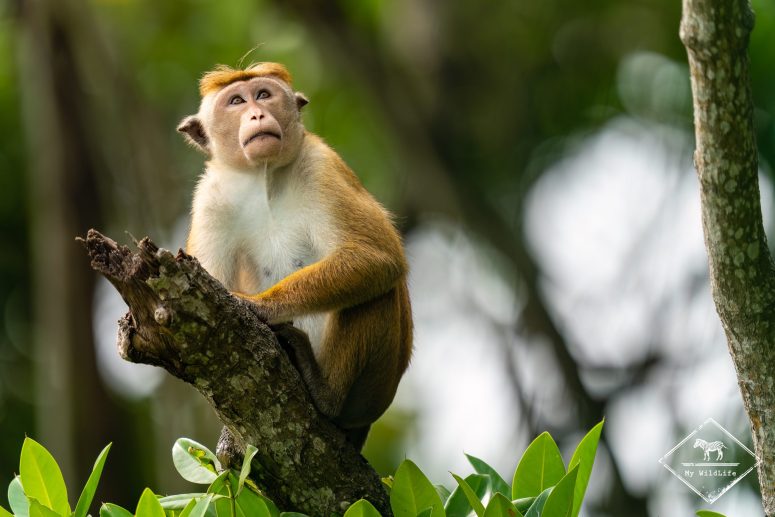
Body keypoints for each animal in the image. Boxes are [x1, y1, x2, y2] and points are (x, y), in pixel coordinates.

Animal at [177, 62, 412, 451]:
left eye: (263, 95)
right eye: (236, 101)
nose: (257, 113)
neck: (263, 178)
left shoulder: (321, 165)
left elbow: (377, 256)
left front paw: (260, 307)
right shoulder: (209, 198)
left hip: (373, 393)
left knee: (377, 289)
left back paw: (326, 395)